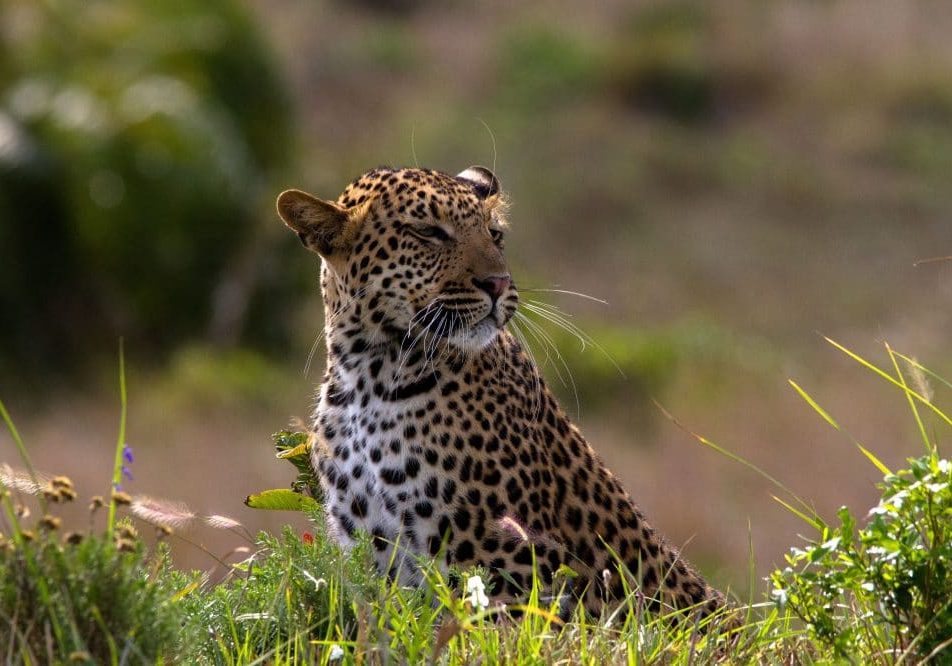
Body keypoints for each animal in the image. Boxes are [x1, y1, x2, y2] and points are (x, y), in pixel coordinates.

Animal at [276, 165, 730, 621]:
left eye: (494, 234)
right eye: (428, 232)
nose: (497, 283)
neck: (370, 377)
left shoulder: (514, 561)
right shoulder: (375, 553)